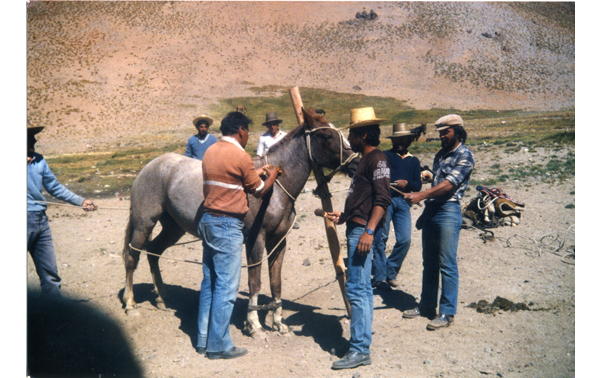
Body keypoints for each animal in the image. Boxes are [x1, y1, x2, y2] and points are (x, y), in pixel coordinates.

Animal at [119, 105, 358, 336]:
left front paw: (278, 323)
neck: (273, 190)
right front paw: (254, 324)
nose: (356, 163)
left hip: (173, 228)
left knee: (154, 251)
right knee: (132, 258)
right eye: (327, 135)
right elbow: (255, 282)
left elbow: (276, 282)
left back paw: (161, 298)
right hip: (143, 224)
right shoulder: (255, 241)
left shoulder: (279, 242)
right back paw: (130, 304)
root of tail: (149, 167)